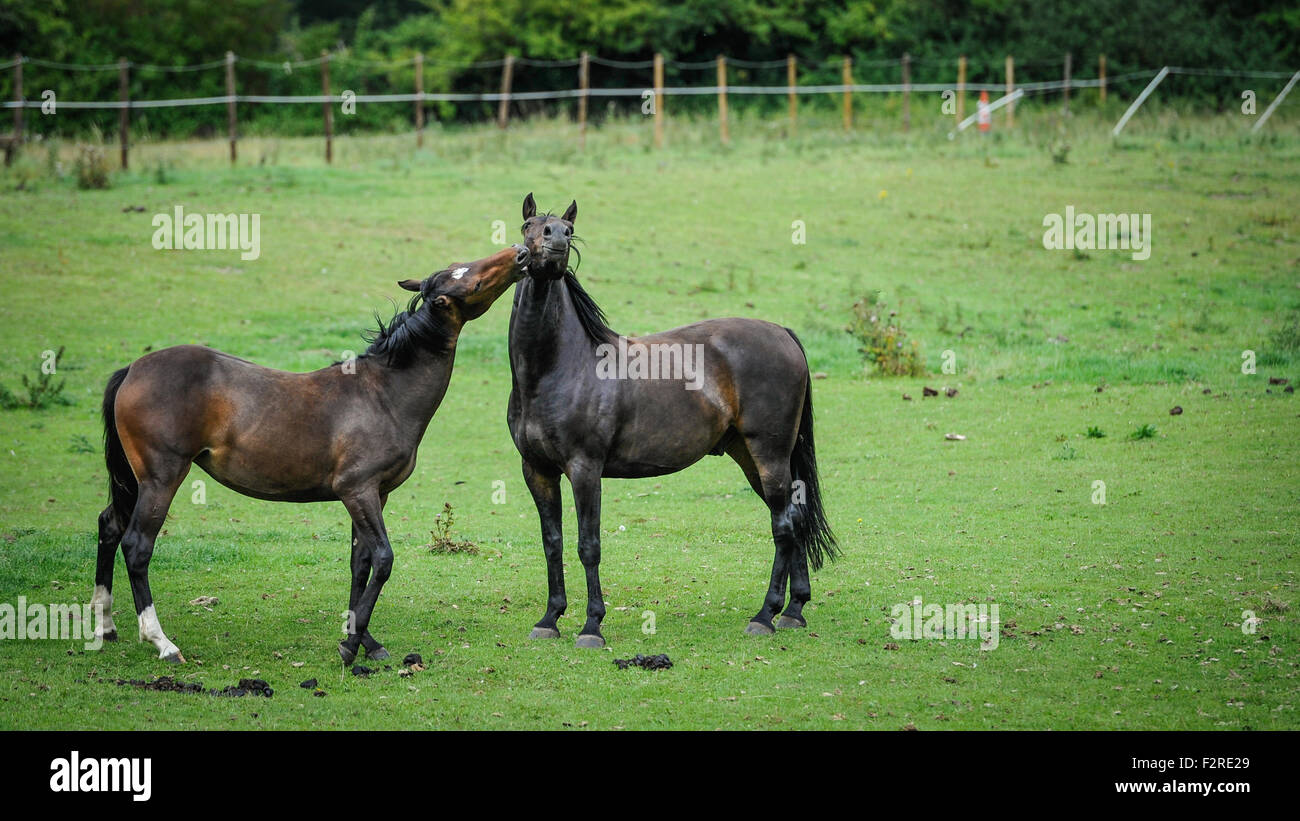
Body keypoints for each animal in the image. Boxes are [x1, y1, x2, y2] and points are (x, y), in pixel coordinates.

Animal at [93, 244, 530, 664]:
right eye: (469, 279)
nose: (520, 252)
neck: (383, 394)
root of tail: (132, 369)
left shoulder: (374, 494)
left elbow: (360, 564)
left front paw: (365, 640)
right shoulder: (358, 491)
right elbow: (383, 559)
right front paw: (350, 647)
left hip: (134, 481)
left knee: (110, 526)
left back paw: (104, 627)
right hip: (161, 478)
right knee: (137, 546)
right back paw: (162, 643)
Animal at [508, 193, 838, 648]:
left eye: (567, 229)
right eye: (530, 227)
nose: (557, 241)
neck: (558, 367)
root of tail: (782, 333)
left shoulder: (585, 469)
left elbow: (588, 546)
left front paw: (592, 626)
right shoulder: (537, 470)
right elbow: (551, 542)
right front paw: (549, 619)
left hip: (768, 455)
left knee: (784, 526)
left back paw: (765, 616)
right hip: (752, 459)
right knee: (798, 517)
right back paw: (794, 611)